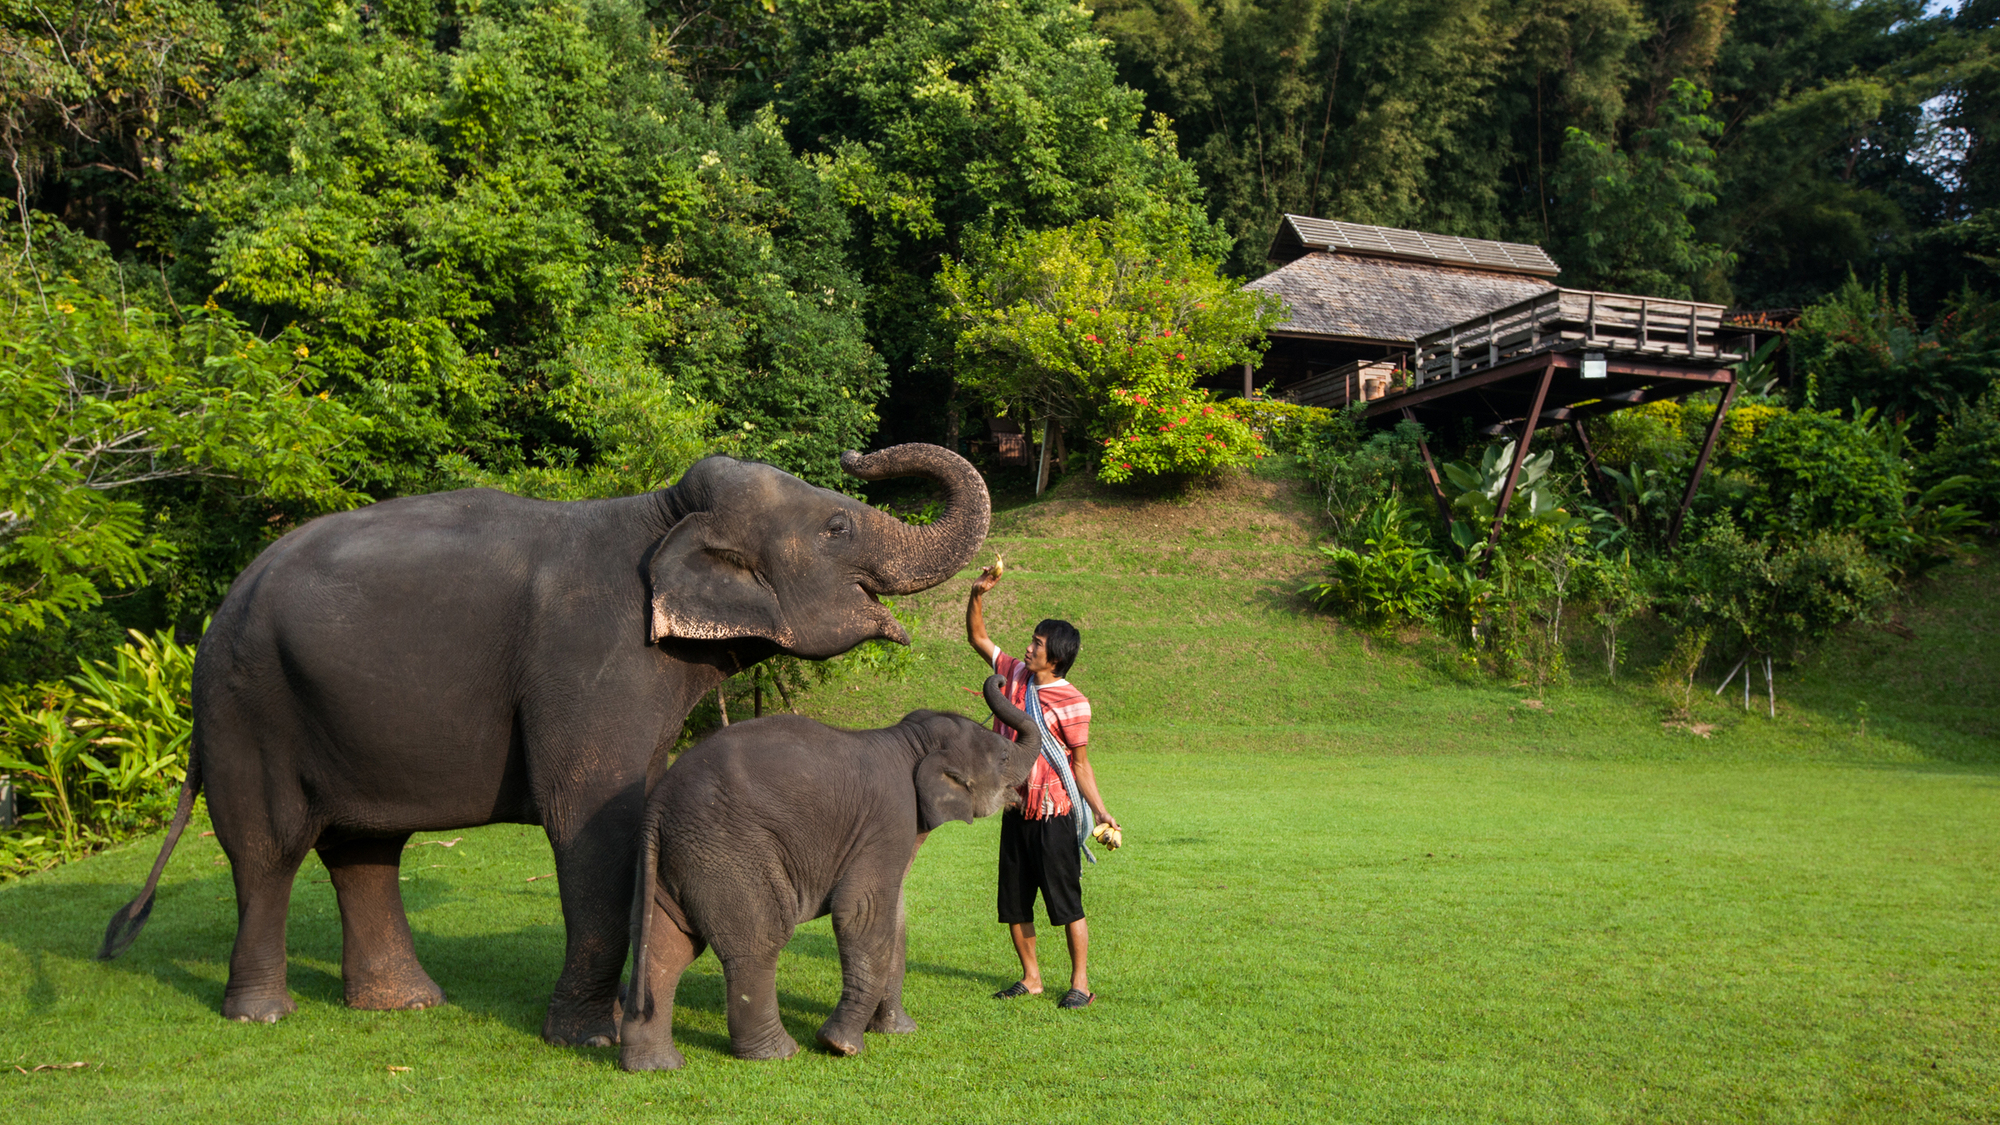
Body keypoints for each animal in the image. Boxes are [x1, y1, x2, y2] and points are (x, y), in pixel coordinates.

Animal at [101, 440, 992, 1040]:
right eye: (837, 525)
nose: (859, 453)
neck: (661, 512)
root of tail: (221, 608)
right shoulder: (589, 658)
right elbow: (594, 821)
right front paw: (593, 1036)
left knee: (364, 848)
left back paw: (407, 1003)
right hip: (249, 705)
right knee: (269, 848)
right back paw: (263, 1015)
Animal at [620, 668, 1032, 1064]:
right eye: (1004, 758)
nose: (999, 678)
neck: (909, 741)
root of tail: (657, 807)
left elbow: (895, 920)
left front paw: (898, 1031)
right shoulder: (889, 817)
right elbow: (862, 913)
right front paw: (840, 1045)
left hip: (676, 859)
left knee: (667, 947)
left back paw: (655, 1064)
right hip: (726, 851)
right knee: (760, 940)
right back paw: (778, 1054)